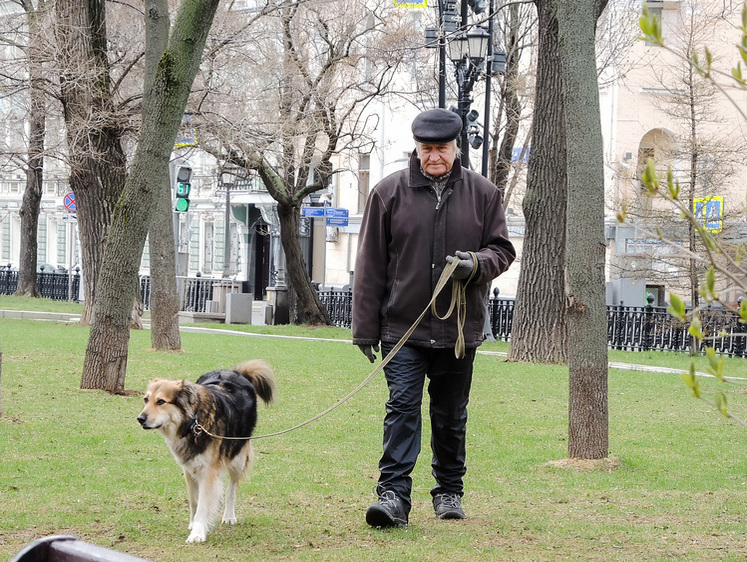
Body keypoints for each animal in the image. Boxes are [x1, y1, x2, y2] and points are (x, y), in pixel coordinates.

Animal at [137, 358, 274, 544]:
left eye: (161, 402)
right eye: (146, 399)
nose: (140, 419)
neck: (193, 422)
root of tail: (236, 372)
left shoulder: (208, 471)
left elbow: (204, 503)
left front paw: (198, 532)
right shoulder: (189, 469)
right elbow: (194, 501)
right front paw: (193, 523)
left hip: (237, 457)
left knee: (232, 489)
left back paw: (229, 515)